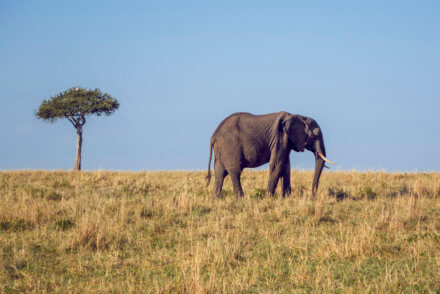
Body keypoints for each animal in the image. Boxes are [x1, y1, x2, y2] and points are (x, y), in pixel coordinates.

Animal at [205, 111, 334, 199]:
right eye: (314, 136)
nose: (313, 196)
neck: (297, 115)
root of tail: (213, 136)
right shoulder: (280, 138)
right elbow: (277, 165)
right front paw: (269, 198)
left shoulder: (286, 142)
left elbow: (286, 167)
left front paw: (286, 198)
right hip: (230, 147)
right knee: (235, 171)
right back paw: (241, 199)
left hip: (222, 149)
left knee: (220, 172)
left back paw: (216, 199)